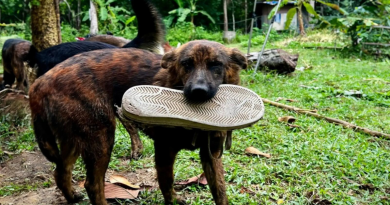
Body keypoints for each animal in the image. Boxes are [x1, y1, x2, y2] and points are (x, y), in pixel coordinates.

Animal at [28, 39, 247, 204]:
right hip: (101, 138)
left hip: (75, 139)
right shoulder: (164, 148)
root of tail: (40, 82)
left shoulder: (212, 153)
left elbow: (220, 191)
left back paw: (72, 196)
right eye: (186, 64)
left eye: (215, 65)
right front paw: (173, 200)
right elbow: (167, 181)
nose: (198, 92)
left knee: (61, 171)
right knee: (92, 184)